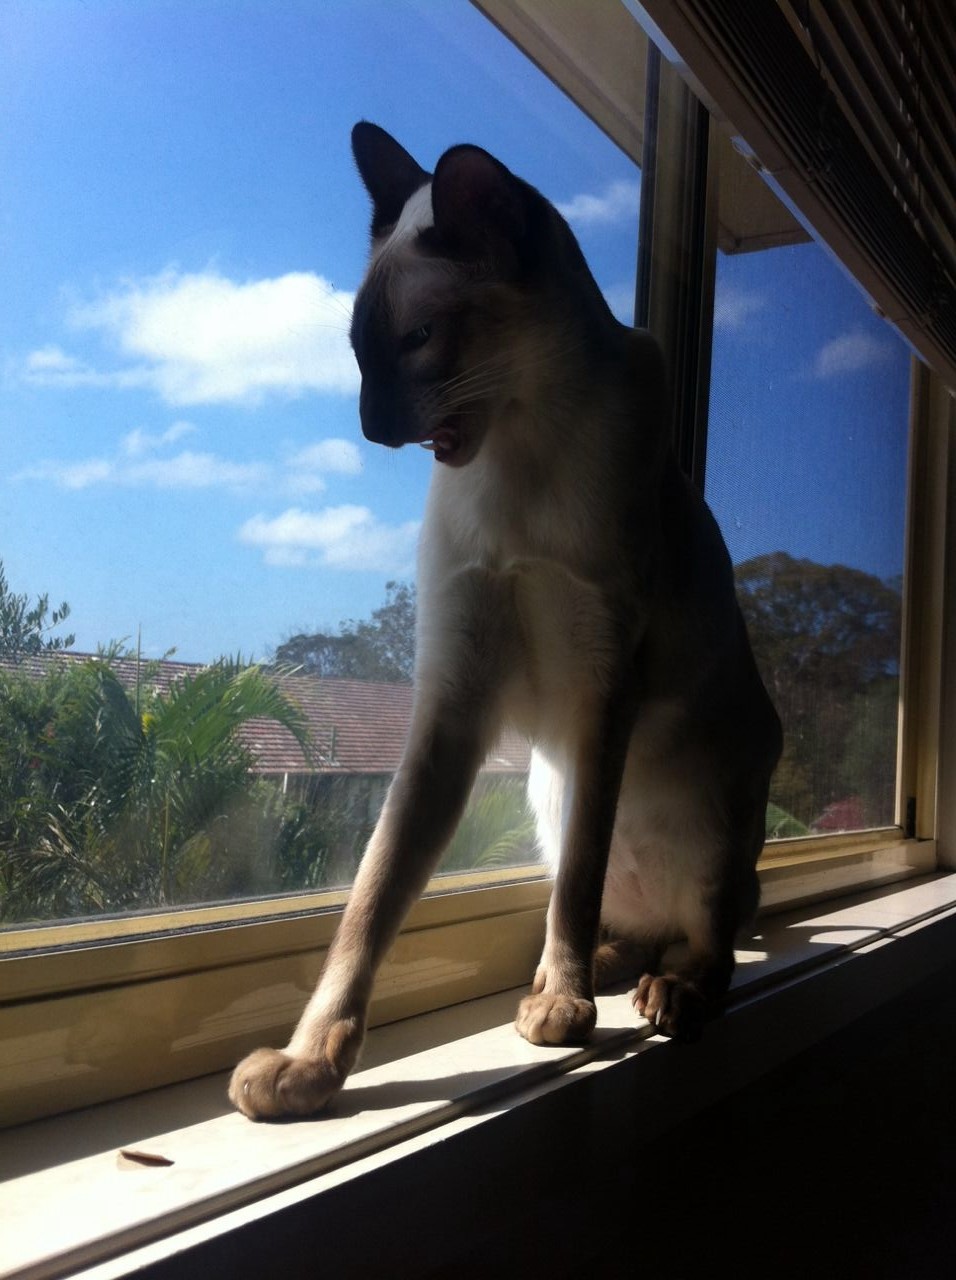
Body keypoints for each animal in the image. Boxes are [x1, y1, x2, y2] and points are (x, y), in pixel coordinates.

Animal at [229, 122, 782, 1119]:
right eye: (359, 351)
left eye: (417, 340)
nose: (371, 428)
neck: (519, 453)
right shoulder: (450, 706)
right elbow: (369, 905)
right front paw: (308, 1069)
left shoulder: (602, 688)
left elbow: (575, 886)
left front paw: (561, 1012)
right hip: (551, 800)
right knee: (631, 917)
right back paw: (611, 966)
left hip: (715, 808)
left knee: (706, 942)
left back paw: (657, 993)